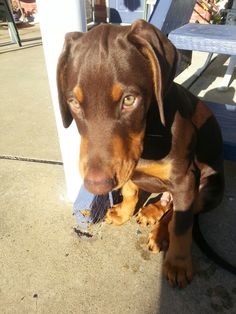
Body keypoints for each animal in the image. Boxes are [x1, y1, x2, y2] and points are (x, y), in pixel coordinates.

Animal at [57, 20, 225, 288]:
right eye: (73, 102)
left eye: (129, 100)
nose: (96, 186)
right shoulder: (127, 165)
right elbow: (129, 190)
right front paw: (124, 212)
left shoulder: (185, 177)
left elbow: (182, 225)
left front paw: (178, 263)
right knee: (168, 203)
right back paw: (151, 212)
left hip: (210, 189)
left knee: (181, 212)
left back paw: (160, 235)